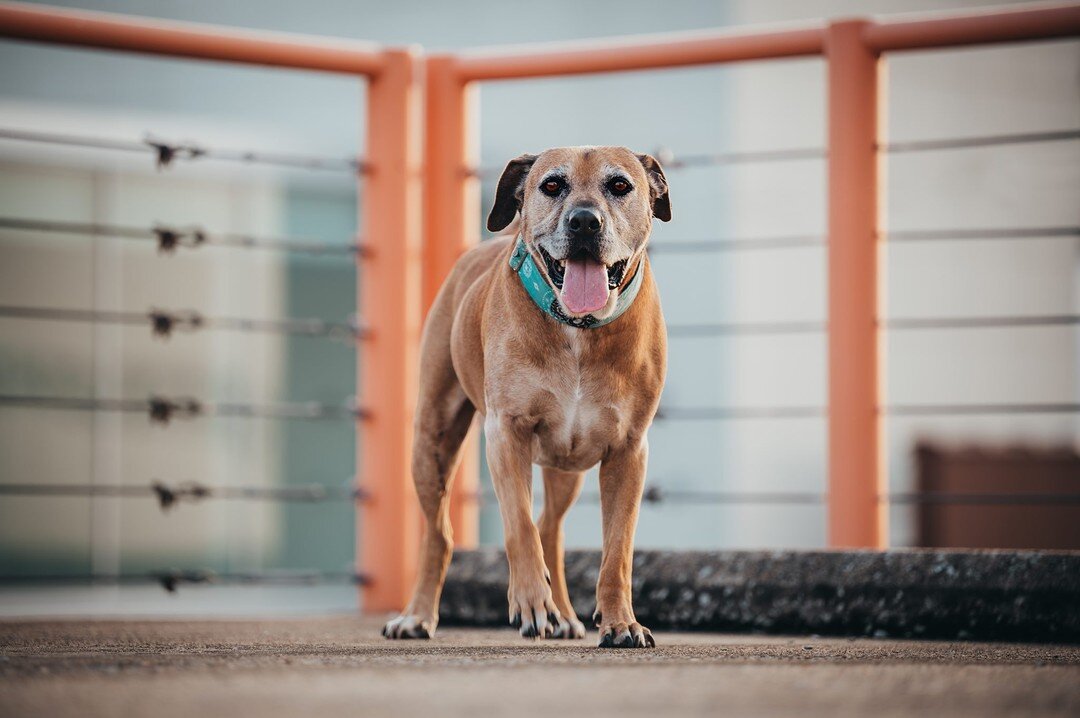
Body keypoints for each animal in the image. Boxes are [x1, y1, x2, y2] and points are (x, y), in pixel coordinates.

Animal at [380, 144, 665, 643]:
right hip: (431, 440)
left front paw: (621, 622)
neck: (578, 329)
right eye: (552, 185)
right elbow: (518, 525)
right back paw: (416, 616)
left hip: (568, 466)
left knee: (551, 527)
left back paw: (567, 615)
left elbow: (617, 550)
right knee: (440, 534)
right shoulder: (506, 433)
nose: (584, 221)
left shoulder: (629, 451)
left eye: (620, 185)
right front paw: (532, 602)